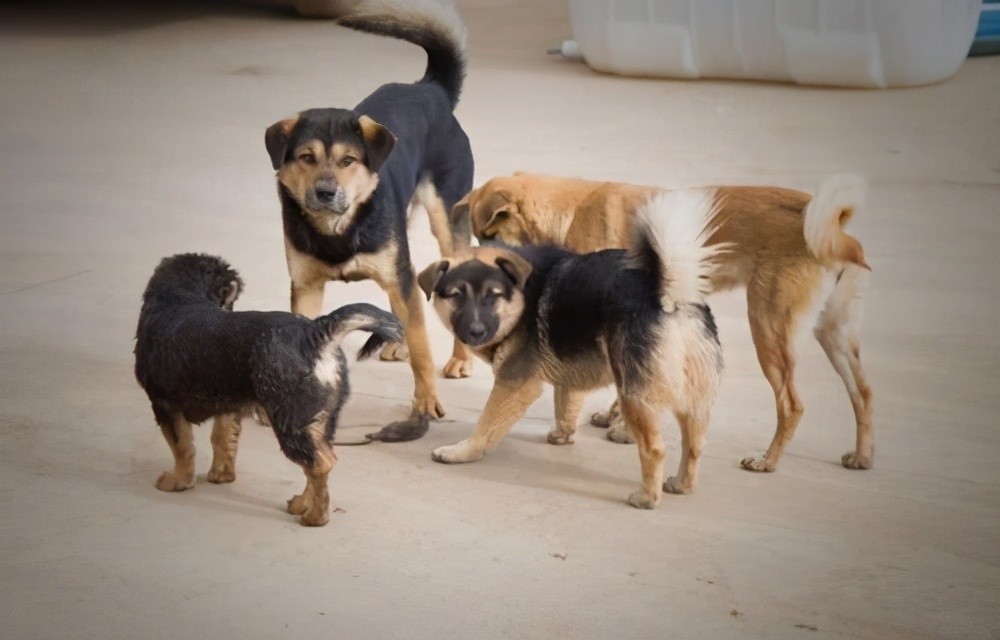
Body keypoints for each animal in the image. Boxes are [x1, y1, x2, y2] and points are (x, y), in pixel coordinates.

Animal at [135, 252, 404, 528]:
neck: (182, 298)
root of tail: (314, 333)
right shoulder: (228, 405)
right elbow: (222, 439)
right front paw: (221, 475)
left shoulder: (164, 404)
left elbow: (182, 447)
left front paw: (178, 481)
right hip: (319, 420)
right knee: (317, 460)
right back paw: (302, 504)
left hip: (291, 421)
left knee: (321, 463)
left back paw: (315, 517)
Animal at [266, 0, 476, 442]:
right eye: (306, 157)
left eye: (348, 160)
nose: (325, 193)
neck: (337, 229)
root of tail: (428, 88)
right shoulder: (306, 286)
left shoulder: (396, 268)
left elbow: (422, 353)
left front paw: (425, 403)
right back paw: (398, 341)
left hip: (446, 221)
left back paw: (459, 358)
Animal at [420, 190, 728, 510]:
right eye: (456, 296)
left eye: (493, 296)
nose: (476, 331)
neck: (522, 294)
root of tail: (669, 294)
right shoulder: (569, 373)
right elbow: (565, 405)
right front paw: (562, 434)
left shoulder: (514, 384)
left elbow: (486, 425)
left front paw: (463, 451)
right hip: (692, 400)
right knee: (694, 443)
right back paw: (682, 485)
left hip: (633, 396)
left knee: (655, 449)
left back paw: (646, 497)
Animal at [458, 172, 872, 472]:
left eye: (492, 236)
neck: (573, 210)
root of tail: (839, 229)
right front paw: (617, 421)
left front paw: (622, 428)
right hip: (832, 334)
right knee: (863, 392)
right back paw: (861, 455)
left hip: (768, 329)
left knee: (792, 405)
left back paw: (767, 462)